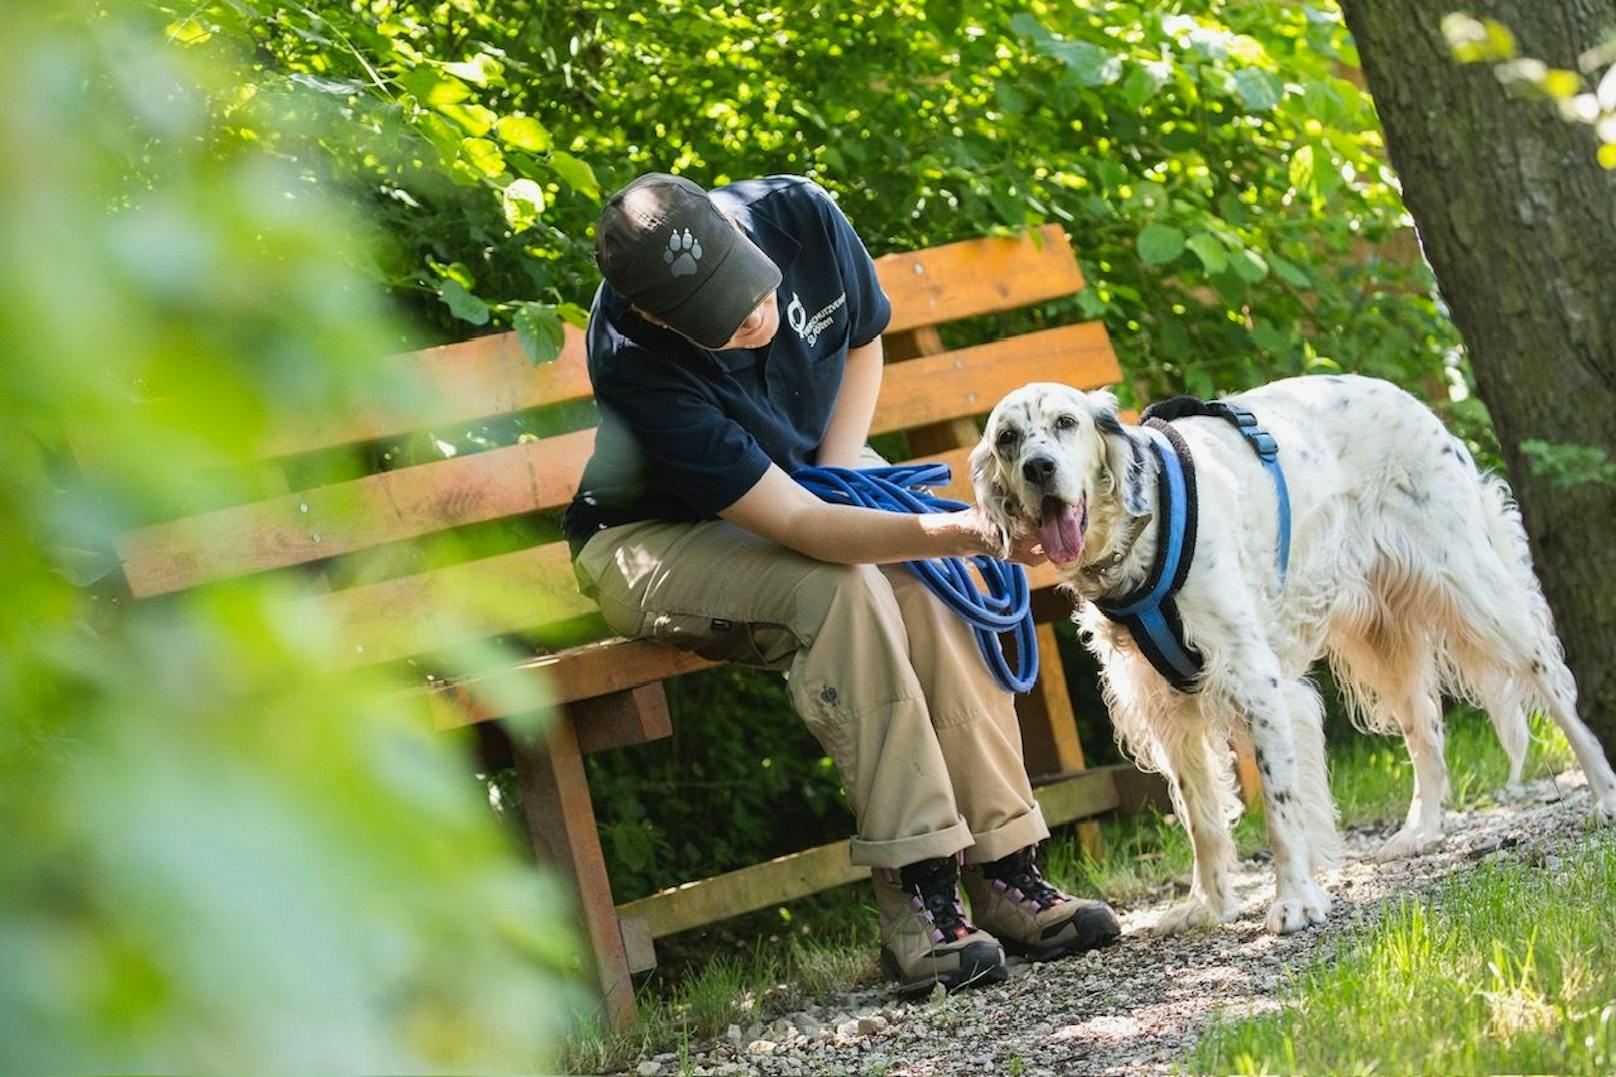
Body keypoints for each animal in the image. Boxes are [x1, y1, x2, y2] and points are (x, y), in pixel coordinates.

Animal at [969, 375, 1616, 931]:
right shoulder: (1166, 709)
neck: (1144, 530)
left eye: (1066, 422)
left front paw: (1296, 901)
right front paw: (1208, 904)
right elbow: (1201, 819)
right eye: (1007, 438)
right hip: (1383, 640)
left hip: (1474, 592)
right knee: (1427, 728)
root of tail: (1414, 404)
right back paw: (1422, 831)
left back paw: (1604, 793)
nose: (1039, 468)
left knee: (1553, 684)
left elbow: (1281, 811)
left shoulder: (1256, 682)